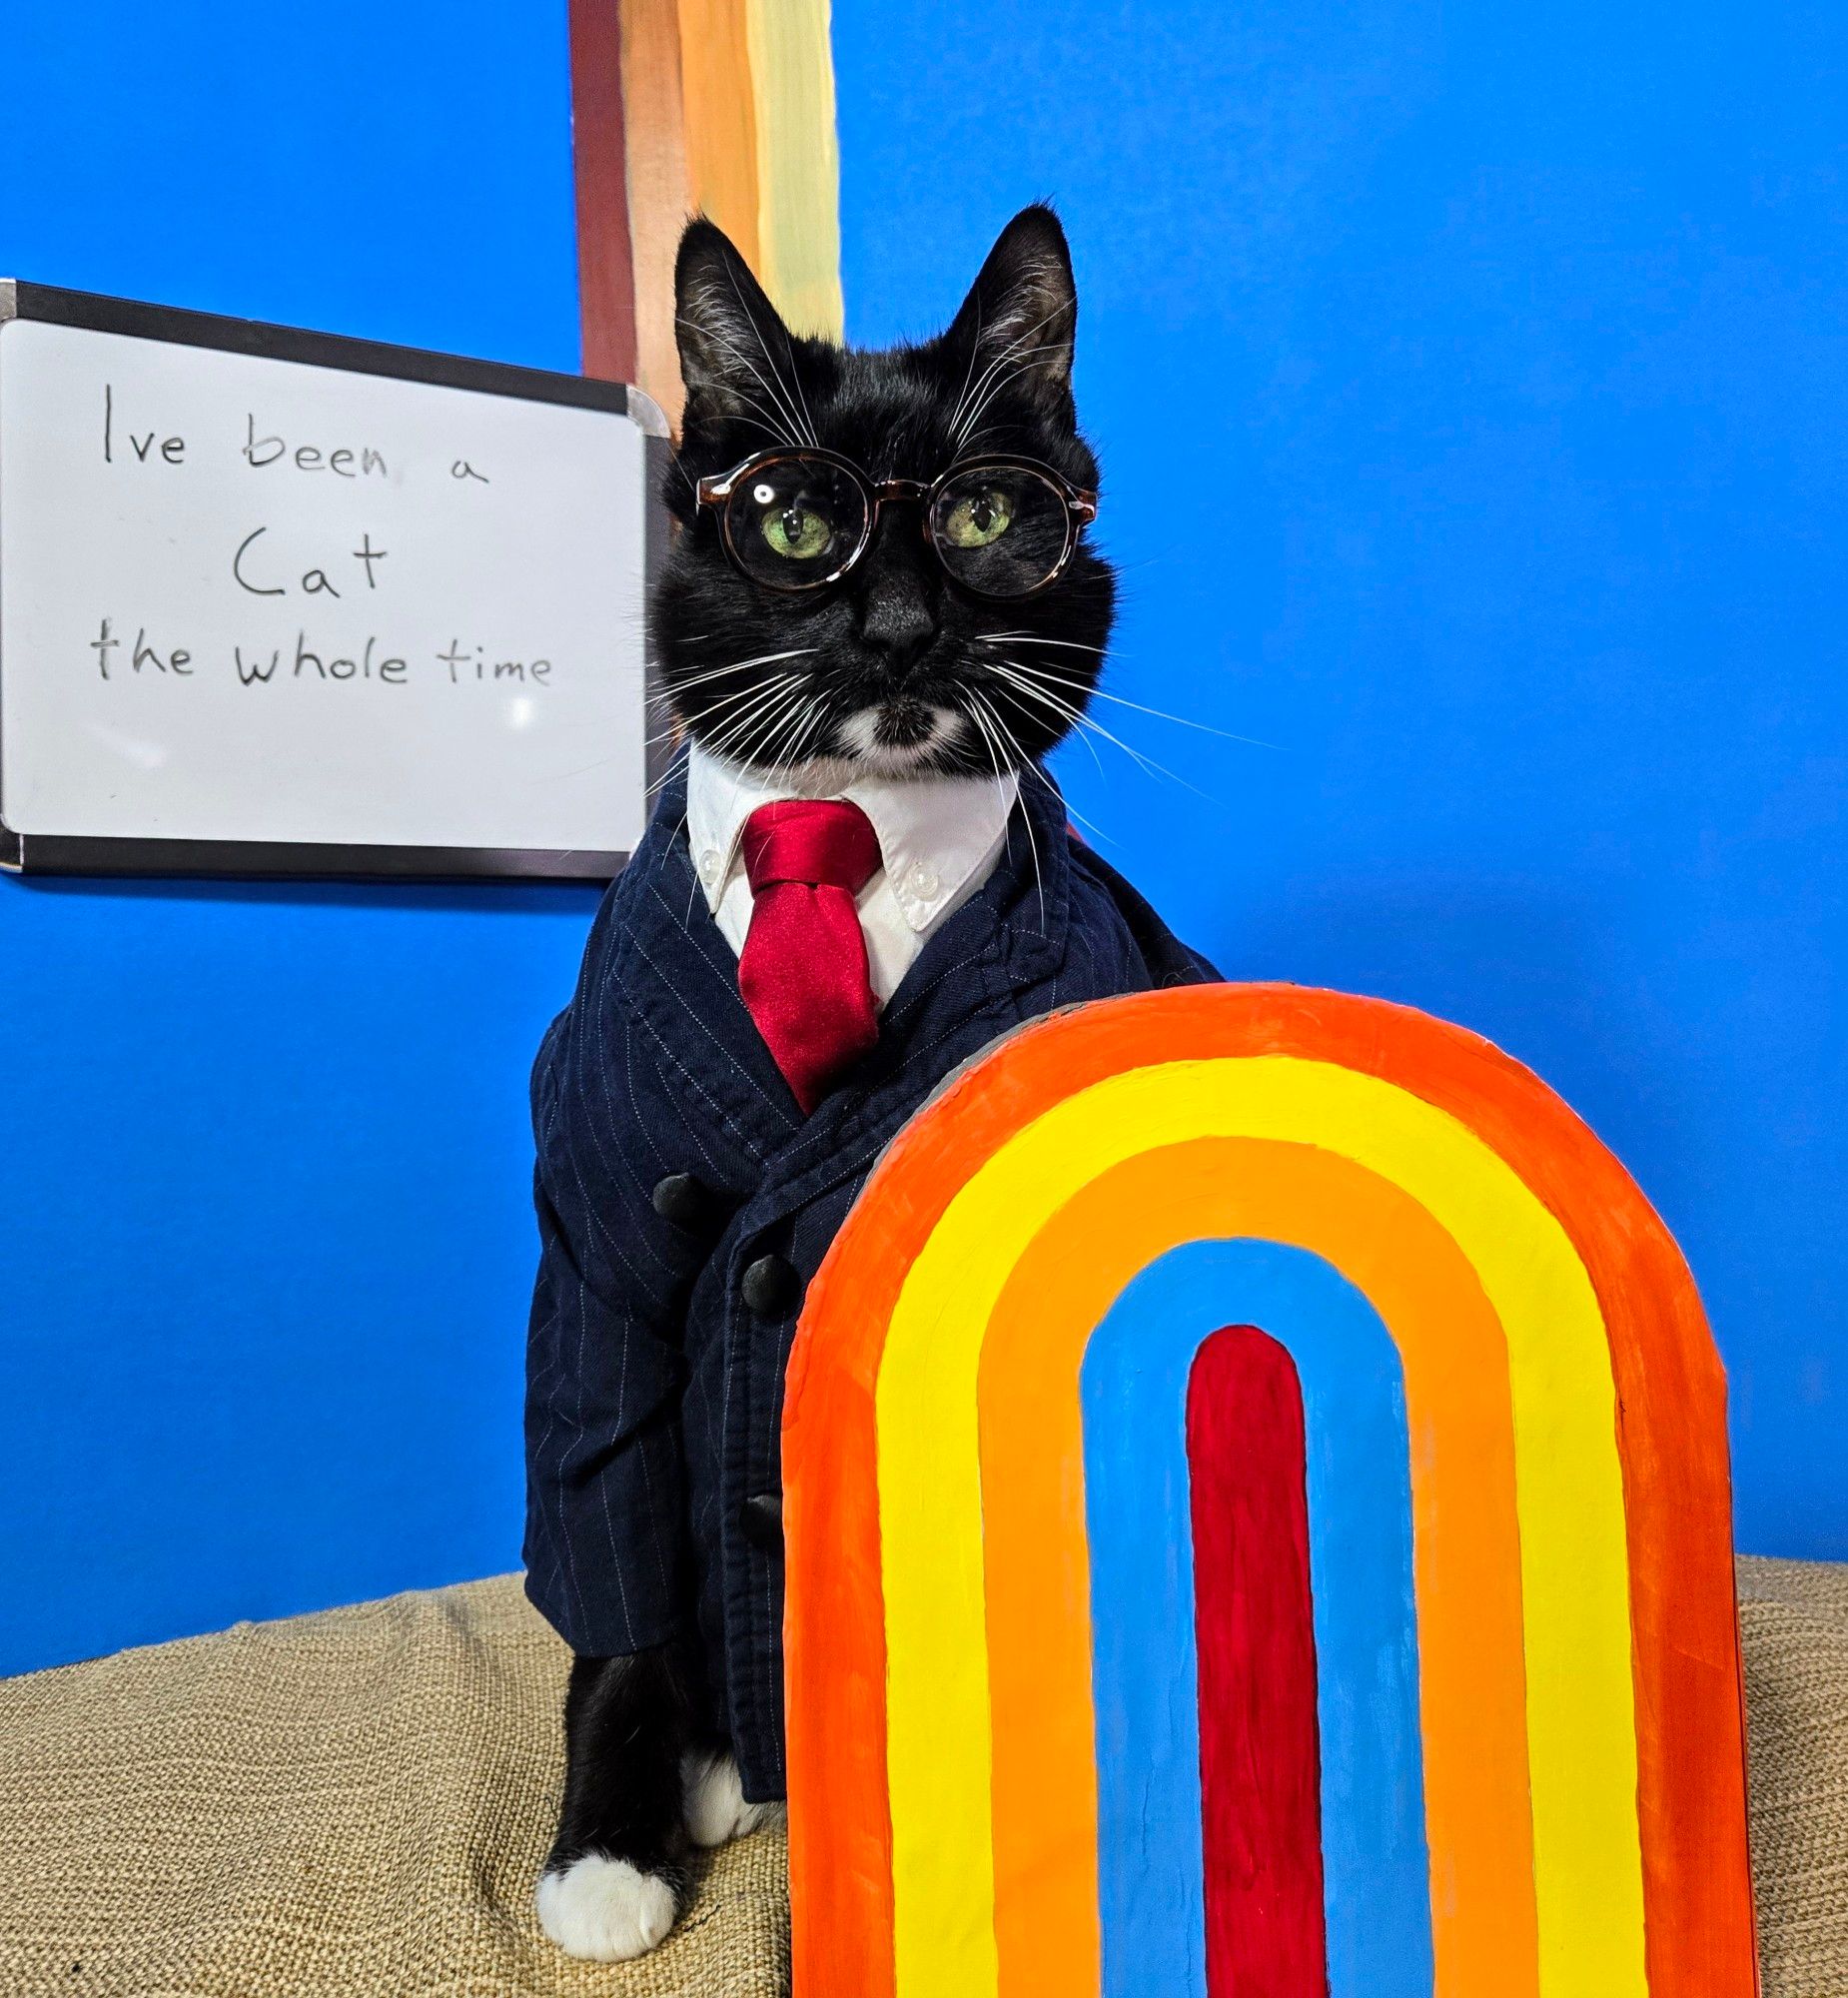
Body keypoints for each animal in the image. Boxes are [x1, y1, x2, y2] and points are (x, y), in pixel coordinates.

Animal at [527, 207, 1215, 1966]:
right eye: (792, 518)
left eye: (982, 514)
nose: (900, 627)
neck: (845, 828)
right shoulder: (599, 1237)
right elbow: (605, 1525)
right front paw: (608, 1844)